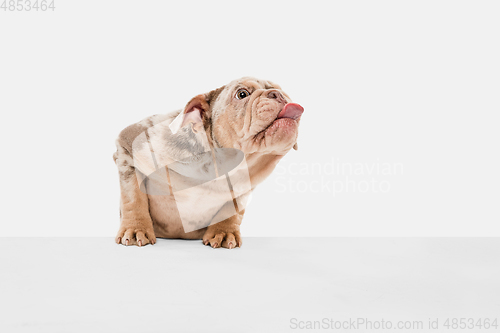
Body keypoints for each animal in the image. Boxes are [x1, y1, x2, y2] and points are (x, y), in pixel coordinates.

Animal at [113, 78, 302, 248]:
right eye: (242, 94)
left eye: (282, 91)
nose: (278, 95)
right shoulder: (127, 150)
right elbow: (133, 197)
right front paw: (136, 229)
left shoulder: (244, 188)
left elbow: (232, 209)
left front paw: (224, 232)